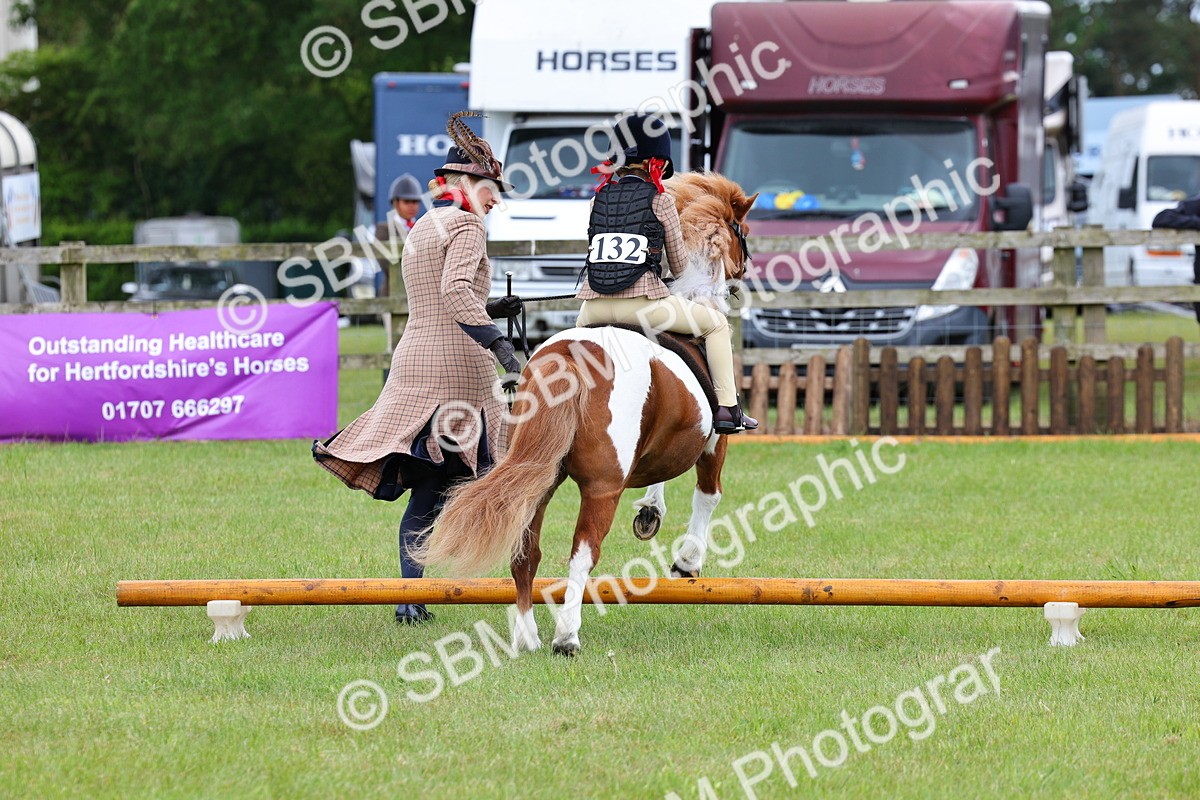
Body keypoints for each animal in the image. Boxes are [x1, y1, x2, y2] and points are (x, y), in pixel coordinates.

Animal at [415, 172, 757, 656]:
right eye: (740, 231)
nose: (739, 279)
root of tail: (570, 358)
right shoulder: (712, 441)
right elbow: (708, 495)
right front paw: (687, 562)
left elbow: (660, 473)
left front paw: (650, 512)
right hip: (601, 486)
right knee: (582, 553)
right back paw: (566, 636)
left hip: (538, 477)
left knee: (526, 553)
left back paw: (527, 637)